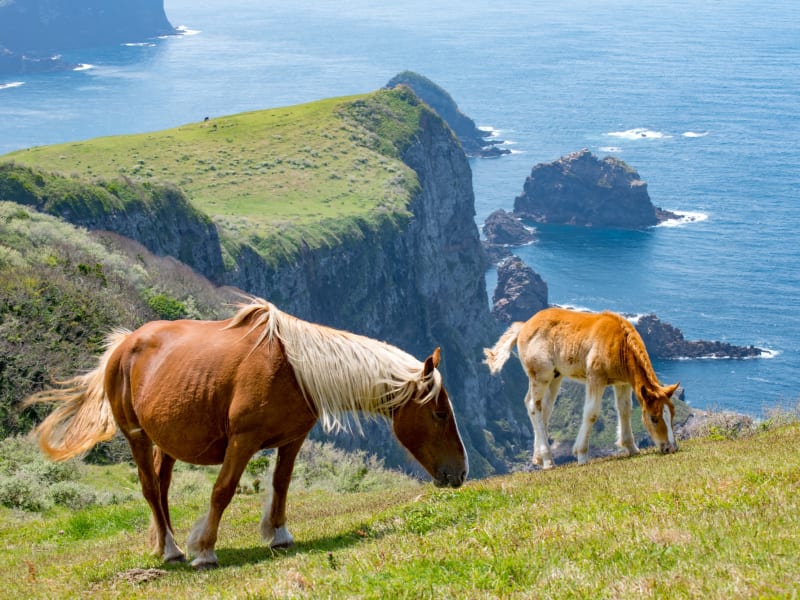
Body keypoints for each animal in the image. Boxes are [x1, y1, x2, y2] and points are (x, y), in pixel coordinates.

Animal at [26, 300, 468, 568]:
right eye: (439, 413)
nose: (460, 473)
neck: (294, 369)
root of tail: (124, 344)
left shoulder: (292, 440)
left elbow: (282, 484)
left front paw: (279, 534)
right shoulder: (242, 441)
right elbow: (223, 490)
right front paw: (205, 549)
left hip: (166, 441)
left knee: (162, 488)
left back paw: (167, 542)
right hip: (137, 435)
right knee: (151, 489)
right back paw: (171, 550)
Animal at [484, 310, 680, 468]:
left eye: (672, 414)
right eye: (654, 418)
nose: (671, 448)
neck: (619, 343)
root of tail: (524, 325)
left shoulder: (622, 383)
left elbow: (625, 410)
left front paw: (631, 447)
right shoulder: (595, 378)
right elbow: (591, 413)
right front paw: (581, 455)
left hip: (555, 377)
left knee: (542, 408)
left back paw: (538, 458)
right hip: (541, 375)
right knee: (533, 405)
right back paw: (548, 461)